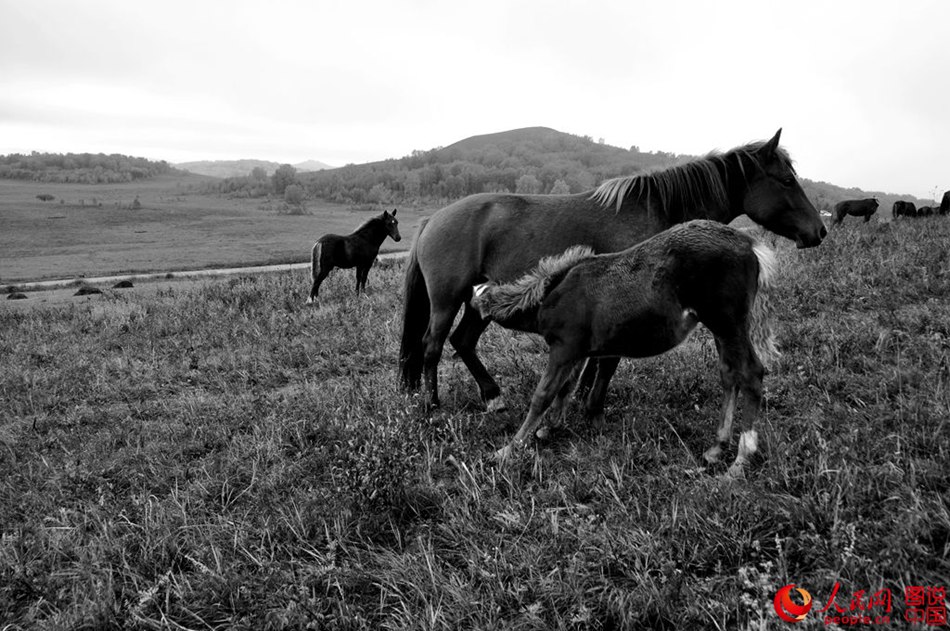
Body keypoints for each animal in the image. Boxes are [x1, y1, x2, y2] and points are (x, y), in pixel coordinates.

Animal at [399, 129, 825, 414]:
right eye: (787, 180)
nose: (818, 231)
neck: (658, 210)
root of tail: (433, 218)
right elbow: (608, 361)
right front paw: (591, 407)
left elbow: (599, 358)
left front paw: (578, 399)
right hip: (447, 299)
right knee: (432, 345)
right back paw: (433, 406)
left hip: (480, 300)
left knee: (462, 342)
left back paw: (493, 398)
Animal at [471, 220, 778, 478]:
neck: (550, 295)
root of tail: (750, 244)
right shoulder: (580, 353)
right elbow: (567, 389)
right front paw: (550, 427)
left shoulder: (564, 348)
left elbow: (542, 396)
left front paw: (508, 449)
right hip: (720, 327)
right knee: (730, 374)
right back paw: (717, 448)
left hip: (727, 322)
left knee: (751, 373)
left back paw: (740, 461)